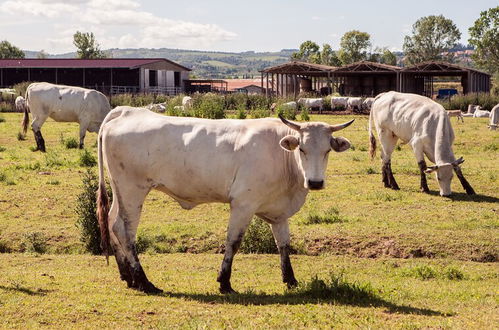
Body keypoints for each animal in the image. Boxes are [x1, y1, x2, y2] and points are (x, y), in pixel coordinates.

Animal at [96, 107, 356, 292]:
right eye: (302, 149)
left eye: (327, 150)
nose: (315, 182)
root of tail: (126, 111)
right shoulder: (243, 204)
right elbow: (234, 241)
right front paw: (224, 282)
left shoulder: (278, 212)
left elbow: (283, 243)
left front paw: (290, 279)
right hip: (133, 190)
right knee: (125, 230)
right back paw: (144, 282)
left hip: (120, 190)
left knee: (111, 222)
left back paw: (127, 276)